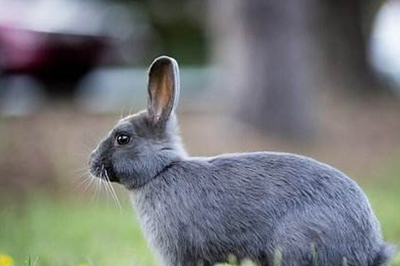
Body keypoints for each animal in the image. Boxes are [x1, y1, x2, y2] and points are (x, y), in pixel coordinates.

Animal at [88, 56, 394, 266]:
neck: (161, 171)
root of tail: (369, 248)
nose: (92, 162)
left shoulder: (177, 251)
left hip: (296, 243)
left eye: (123, 138)